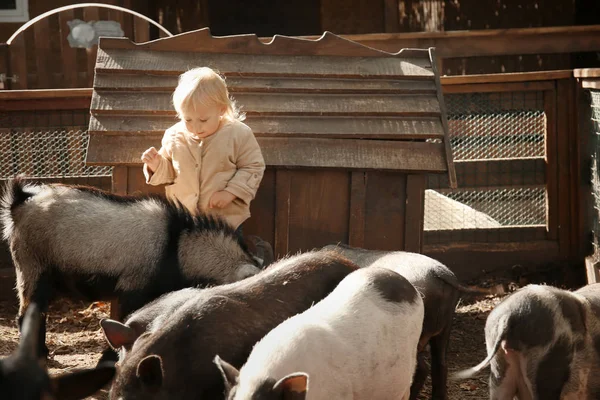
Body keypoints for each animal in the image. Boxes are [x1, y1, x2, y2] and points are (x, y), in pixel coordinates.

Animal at [1, 178, 262, 356]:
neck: (177, 243)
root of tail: (19, 203)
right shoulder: (133, 288)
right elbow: (125, 322)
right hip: (33, 268)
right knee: (28, 312)